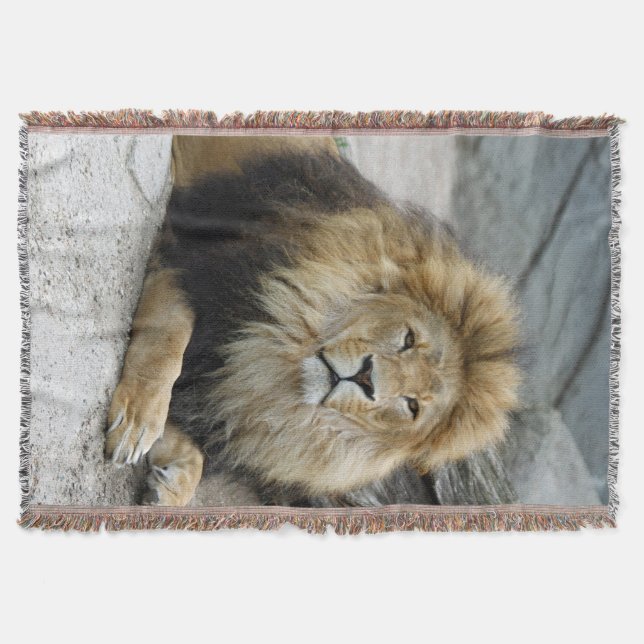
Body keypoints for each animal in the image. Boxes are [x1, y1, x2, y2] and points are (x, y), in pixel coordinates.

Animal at [104, 135, 520, 507]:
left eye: (412, 406)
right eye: (408, 338)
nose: (367, 377)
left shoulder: (219, 402)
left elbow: (198, 454)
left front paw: (170, 485)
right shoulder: (186, 256)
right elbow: (167, 342)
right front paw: (138, 420)